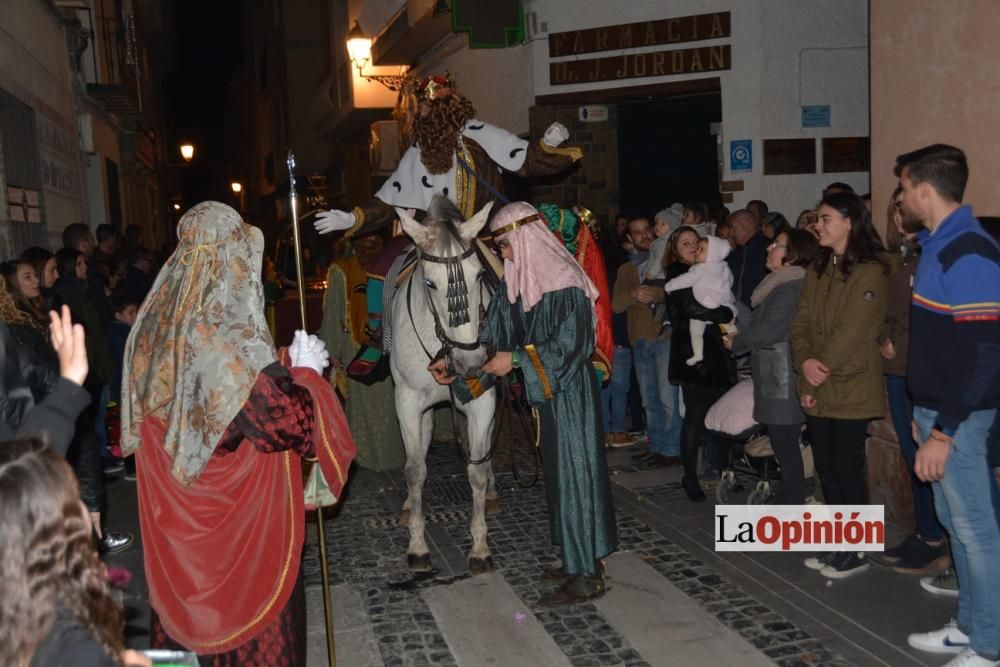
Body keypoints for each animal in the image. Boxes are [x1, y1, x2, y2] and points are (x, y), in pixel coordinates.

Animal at [392, 197, 498, 576]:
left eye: (479, 274)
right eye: (430, 283)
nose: (471, 361)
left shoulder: (483, 399)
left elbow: (476, 470)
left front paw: (479, 547)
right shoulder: (408, 402)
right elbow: (414, 469)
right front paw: (418, 546)